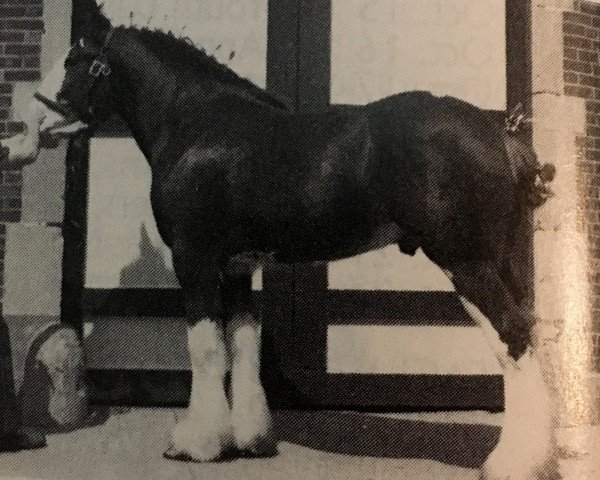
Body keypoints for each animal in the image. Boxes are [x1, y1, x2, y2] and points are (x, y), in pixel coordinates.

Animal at [1, 6, 556, 480]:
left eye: (73, 60)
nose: (20, 135)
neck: (197, 121)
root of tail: (499, 132)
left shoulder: (195, 259)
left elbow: (205, 346)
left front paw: (196, 443)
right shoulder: (238, 266)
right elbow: (242, 342)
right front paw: (248, 438)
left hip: (467, 264)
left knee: (512, 338)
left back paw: (509, 463)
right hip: (500, 264)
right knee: (526, 336)